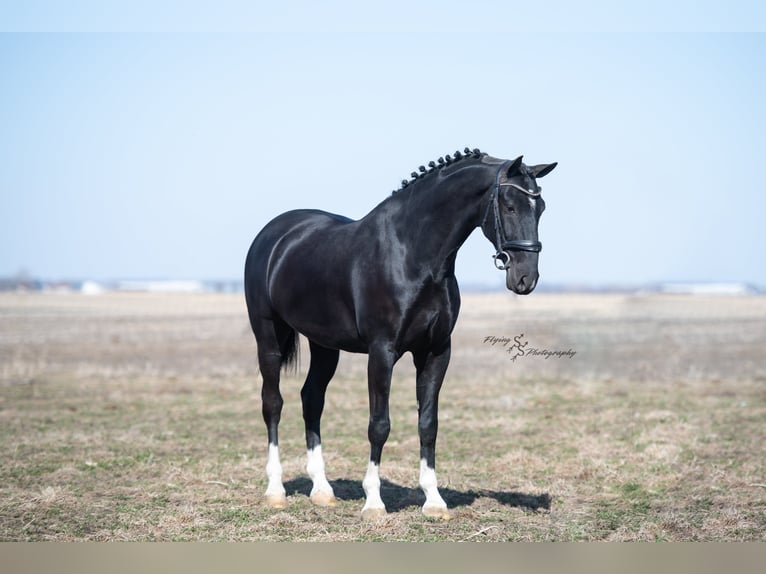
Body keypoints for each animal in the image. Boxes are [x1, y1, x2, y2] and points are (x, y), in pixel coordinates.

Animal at [244, 148, 557, 519]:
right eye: (509, 206)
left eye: (541, 208)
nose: (525, 278)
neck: (413, 255)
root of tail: (274, 235)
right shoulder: (382, 351)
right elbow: (379, 424)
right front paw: (374, 503)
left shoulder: (436, 352)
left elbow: (428, 423)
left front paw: (434, 500)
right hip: (268, 337)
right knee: (272, 403)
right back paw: (275, 490)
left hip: (324, 345)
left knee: (312, 400)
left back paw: (322, 490)